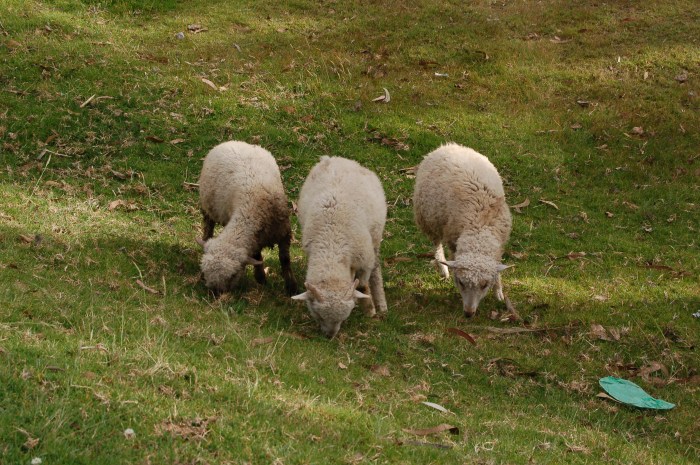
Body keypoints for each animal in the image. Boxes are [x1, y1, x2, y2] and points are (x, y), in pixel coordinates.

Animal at [197, 141, 297, 296]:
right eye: (205, 272)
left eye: (233, 275)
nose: (215, 294)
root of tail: (231, 142)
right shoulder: (255, 240)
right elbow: (257, 257)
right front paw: (261, 278)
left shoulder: (284, 233)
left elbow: (285, 259)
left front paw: (292, 287)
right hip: (208, 207)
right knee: (208, 228)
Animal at [291, 156, 387, 338]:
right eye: (318, 315)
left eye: (344, 318)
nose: (330, 336)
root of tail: (336, 158)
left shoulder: (364, 260)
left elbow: (362, 284)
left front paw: (369, 308)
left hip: (375, 237)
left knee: (376, 268)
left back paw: (381, 303)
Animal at [413, 143, 512, 317]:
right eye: (461, 282)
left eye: (484, 285)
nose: (468, 313)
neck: (480, 227)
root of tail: (447, 146)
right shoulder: (453, 239)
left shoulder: (500, 244)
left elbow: (497, 268)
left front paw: (499, 292)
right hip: (429, 219)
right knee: (436, 244)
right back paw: (443, 268)